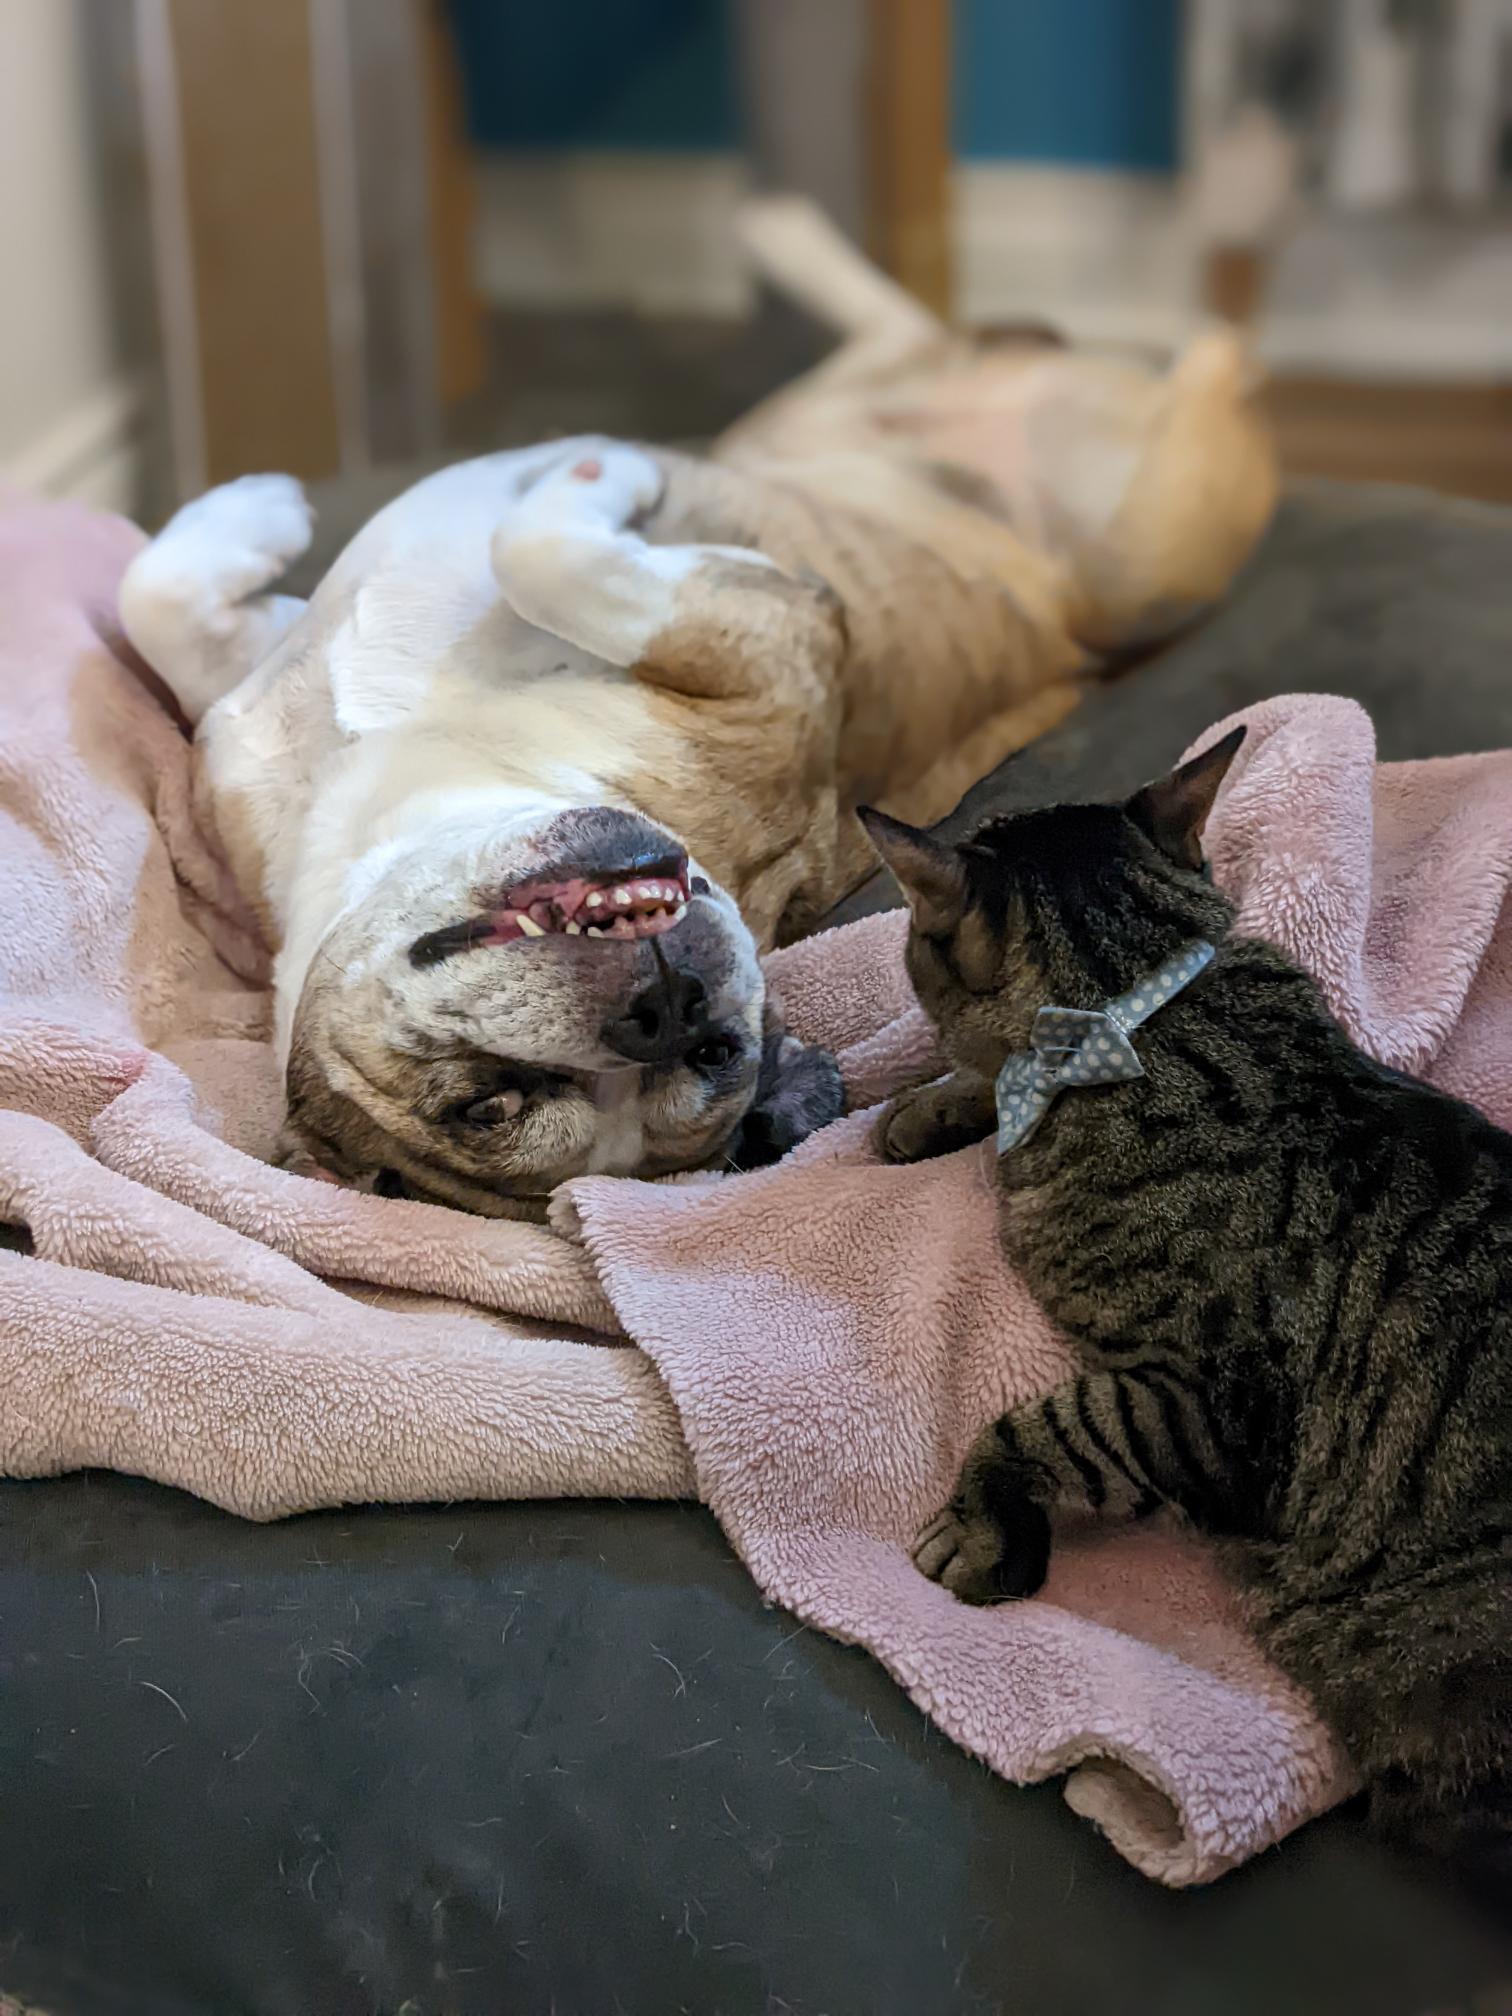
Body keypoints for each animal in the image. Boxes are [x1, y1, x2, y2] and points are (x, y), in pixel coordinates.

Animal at [118, 201, 1276, 1218]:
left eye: (715, 1052)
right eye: (486, 1105)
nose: (664, 1014)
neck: (401, 783)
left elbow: (176, 594)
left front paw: (264, 506)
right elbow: (180, 599)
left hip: (1124, 548)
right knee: (986, 340)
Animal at [860, 728, 1512, 1874]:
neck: (1152, 1007)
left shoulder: (1207, 1407)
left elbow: (1031, 1423)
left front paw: (978, 1532)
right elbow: (984, 1080)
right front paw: (928, 1108)